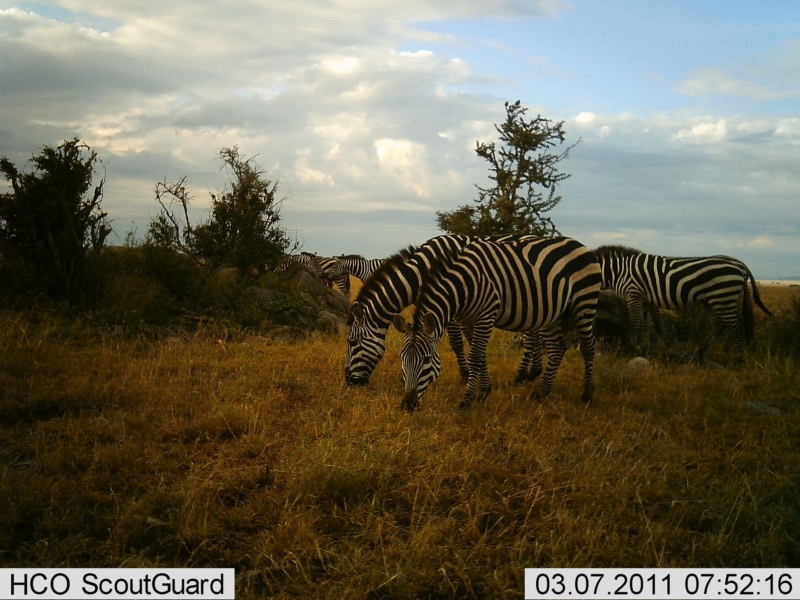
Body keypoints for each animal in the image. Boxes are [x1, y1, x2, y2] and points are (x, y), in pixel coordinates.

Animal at [392, 236, 601, 412]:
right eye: (402, 358)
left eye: (427, 360)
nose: (407, 405)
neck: (465, 284)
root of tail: (582, 245)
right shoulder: (469, 318)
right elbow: (480, 355)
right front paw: (484, 392)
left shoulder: (486, 314)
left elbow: (475, 357)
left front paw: (468, 399)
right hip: (553, 312)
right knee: (557, 348)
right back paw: (541, 392)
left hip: (584, 302)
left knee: (588, 347)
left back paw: (587, 394)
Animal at [594, 245, 772, 362]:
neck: (619, 271)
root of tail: (739, 264)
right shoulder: (646, 298)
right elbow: (652, 322)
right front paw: (652, 345)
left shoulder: (634, 293)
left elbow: (635, 321)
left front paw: (631, 347)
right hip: (714, 300)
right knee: (719, 323)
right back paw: (701, 351)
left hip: (723, 296)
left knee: (736, 325)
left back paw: (739, 360)